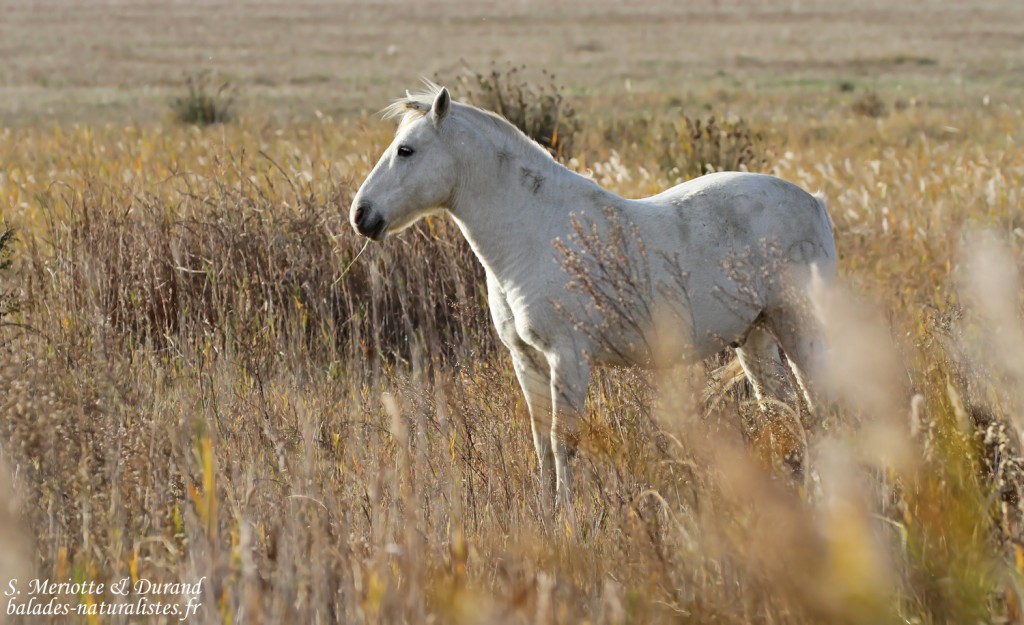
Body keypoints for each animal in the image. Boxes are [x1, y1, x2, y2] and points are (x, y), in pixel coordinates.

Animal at [348, 82, 835, 502]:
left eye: (406, 150)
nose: (361, 215)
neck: (533, 231)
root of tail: (813, 201)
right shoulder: (526, 360)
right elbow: (541, 444)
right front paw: (545, 516)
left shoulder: (568, 357)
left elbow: (563, 443)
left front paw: (570, 520)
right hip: (756, 337)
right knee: (784, 415)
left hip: (799, 329)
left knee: (820, 411)